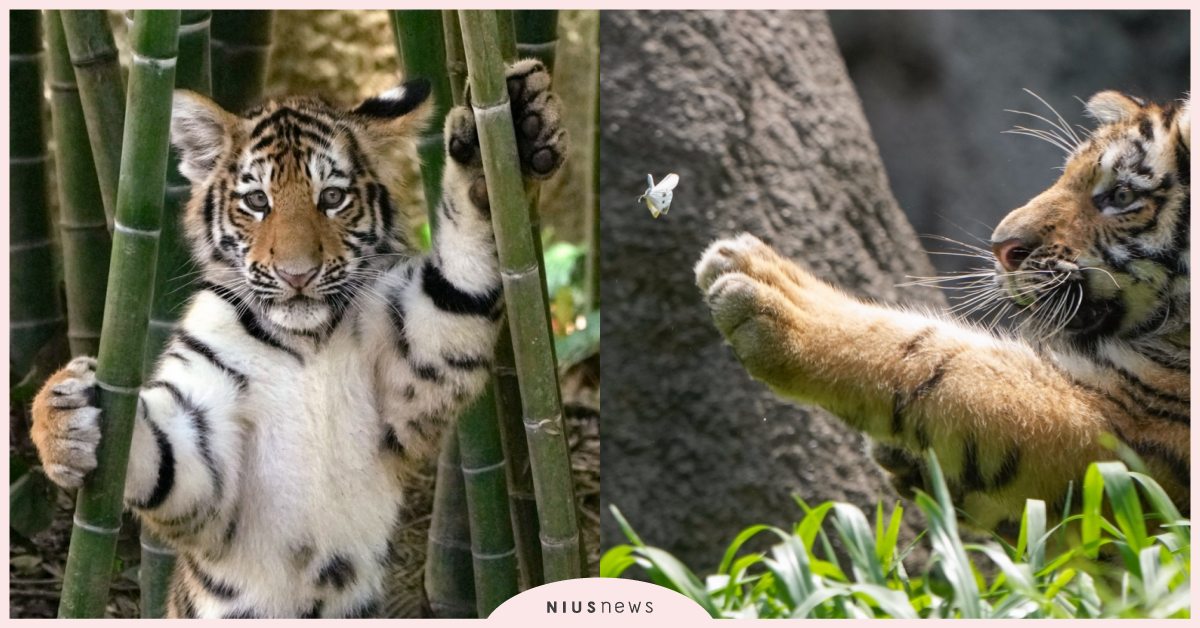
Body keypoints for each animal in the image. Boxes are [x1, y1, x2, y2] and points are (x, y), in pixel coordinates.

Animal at [29, 59, 566, 618]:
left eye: (331, 197)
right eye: (256, 201)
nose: (297, 274)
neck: (307, 343)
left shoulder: (418, 357)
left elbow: (458, 280)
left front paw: (507, 136)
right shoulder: (206, 441)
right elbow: (166, 456)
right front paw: (65, 417)